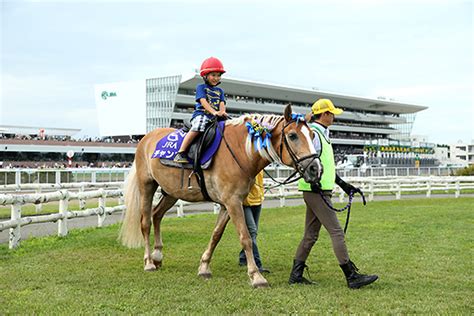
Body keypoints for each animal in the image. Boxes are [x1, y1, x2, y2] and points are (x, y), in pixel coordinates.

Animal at [120, 105, 324, 288]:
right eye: (293, 135)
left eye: (313, 136)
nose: (316, 169)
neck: (241, 151)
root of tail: (146, 138)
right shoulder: (233, 203)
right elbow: (245, 237)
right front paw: (256, 276)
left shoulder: (228, 204)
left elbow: (216, 234)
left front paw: (204, 267)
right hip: (147, 186)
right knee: (145, 222)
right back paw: (148, 262)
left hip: (172, 192)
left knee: (157, 215)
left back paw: (157, 256)